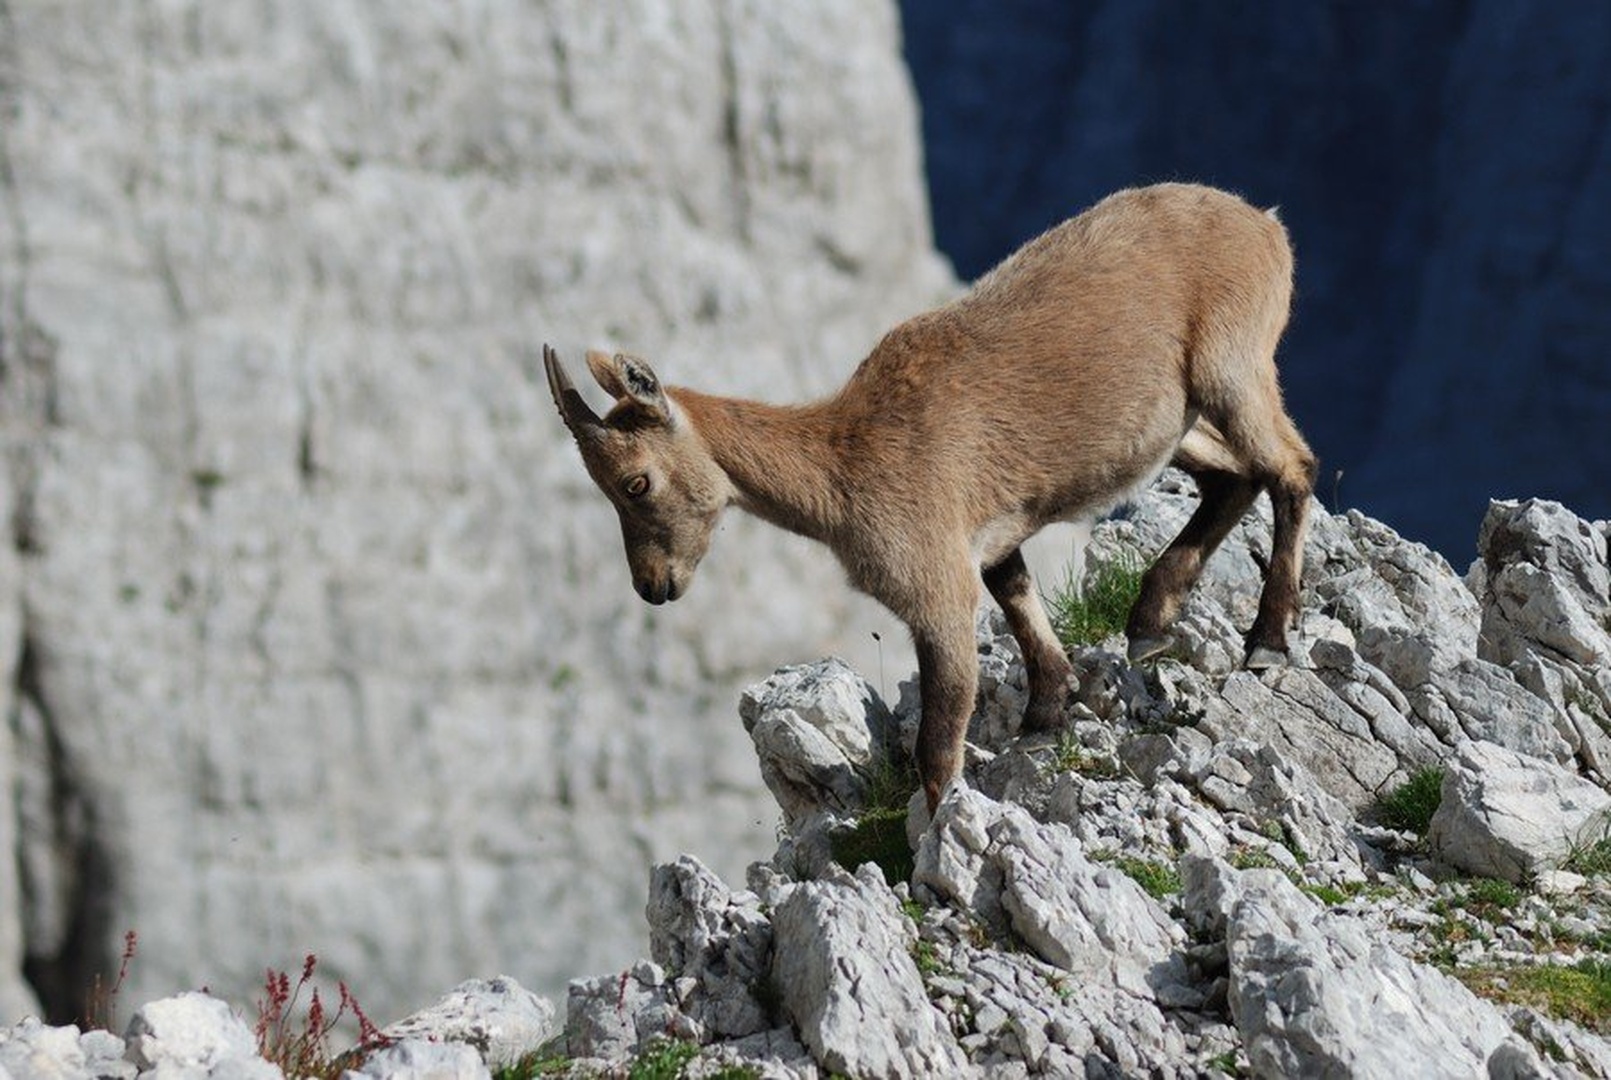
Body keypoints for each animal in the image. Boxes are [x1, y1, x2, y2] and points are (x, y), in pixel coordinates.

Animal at [546, 182, 1317, 812]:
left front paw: (942, 845)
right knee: (1232, 476)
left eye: (636, 482)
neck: (841, 465)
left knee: (1289, 468)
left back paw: (1267, 639)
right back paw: (1153, 616)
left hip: (1232, 366)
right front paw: (1047, 712)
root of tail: (1266, 224)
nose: (653, 586)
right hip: (1172, 421)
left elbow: (938, 742)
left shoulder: (934, 585)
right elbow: (1017, 596)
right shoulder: (987, 538)